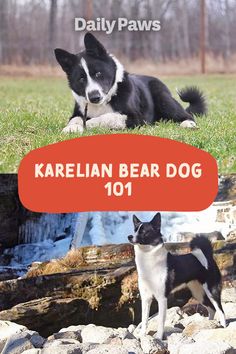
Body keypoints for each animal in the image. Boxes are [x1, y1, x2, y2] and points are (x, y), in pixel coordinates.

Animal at [54, 32, 206, 133]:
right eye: (81, 79)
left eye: (98, 73)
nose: (94, 97)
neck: (105, 101)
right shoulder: (79, 112)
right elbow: (75, 119)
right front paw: (71, 127)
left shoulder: (135, 118)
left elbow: (106, 117)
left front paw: (88, 124)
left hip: (163, 98)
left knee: (187, 115)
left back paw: (188, 124)